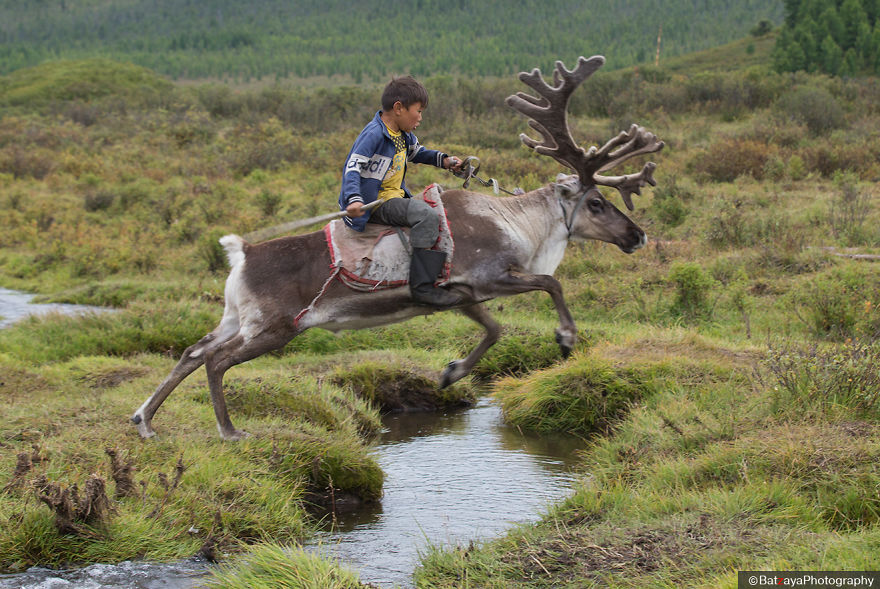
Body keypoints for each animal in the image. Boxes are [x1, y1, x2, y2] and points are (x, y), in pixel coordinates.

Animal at [131, 55, 664, 440]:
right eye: (596, 202)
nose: (637, 236)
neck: (523, 226)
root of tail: (243, 253)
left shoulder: (460, 293)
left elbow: (494, 329)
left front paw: (452, 372)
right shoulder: (487, 276)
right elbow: (549, 285)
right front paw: (565, 338)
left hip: (236, 317)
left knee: (193, 350)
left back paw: (145, 420)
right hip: (276, 325)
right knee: (216, 361)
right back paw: (228, 430)